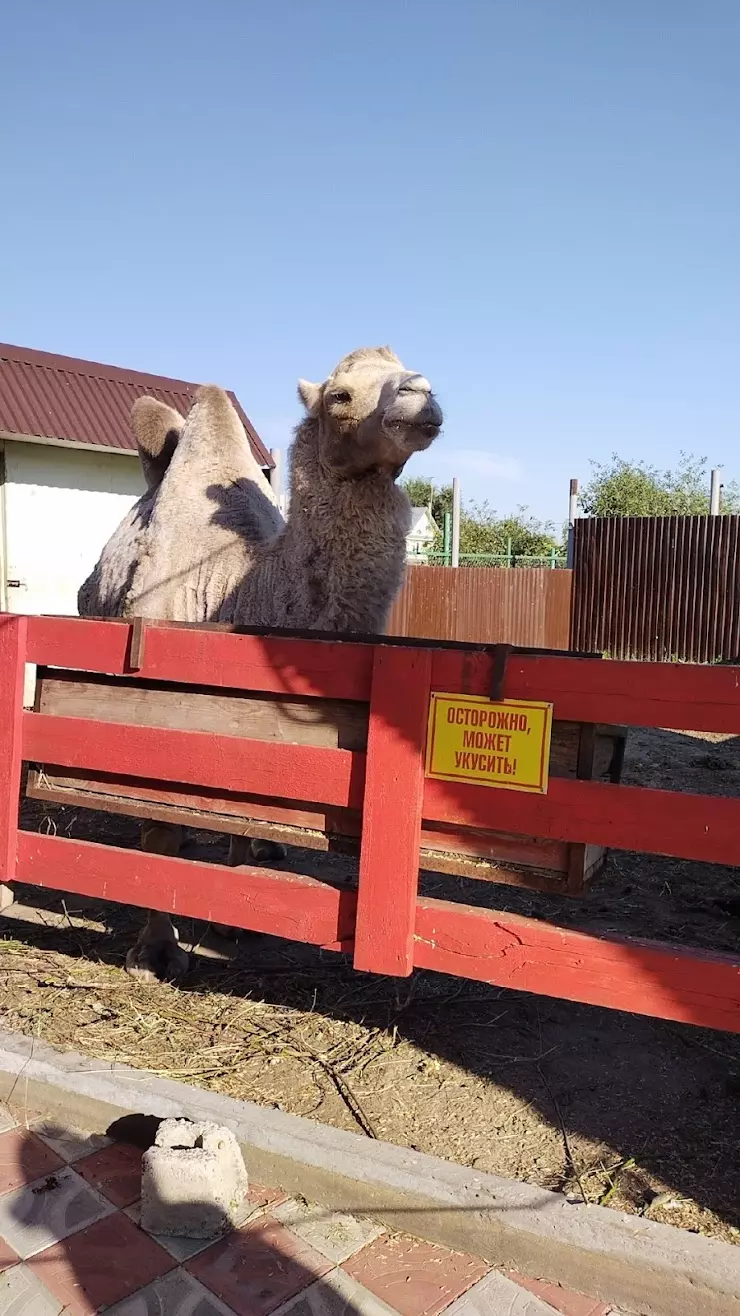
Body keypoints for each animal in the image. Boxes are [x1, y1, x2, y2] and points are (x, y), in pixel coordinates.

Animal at [77, 344, 439, 984]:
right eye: (340, 395)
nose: (423, 397)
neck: (236, 593)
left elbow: (245, 807)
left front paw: (229, 917)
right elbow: (158, 827)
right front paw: (156, 952)